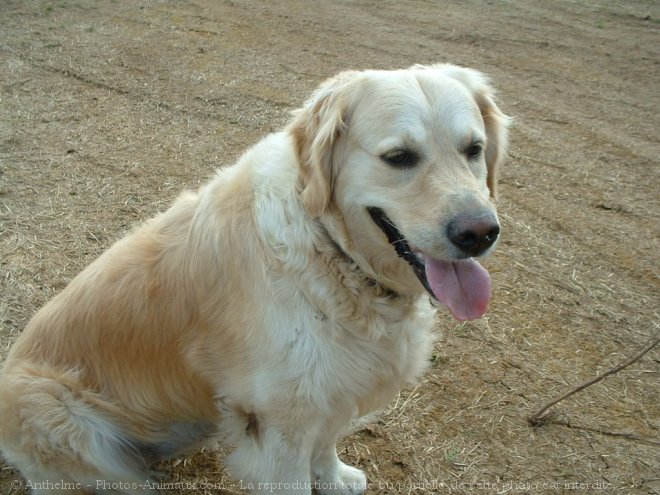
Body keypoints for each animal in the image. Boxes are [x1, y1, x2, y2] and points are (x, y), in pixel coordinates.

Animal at [0, 64, 510, 494]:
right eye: (399, 157)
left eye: (473, 150)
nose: (480, 233)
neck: (329, 249)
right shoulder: (280, 422)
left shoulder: (328, 390)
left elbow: (326, 444)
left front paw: (336, 478)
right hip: (53, 408)